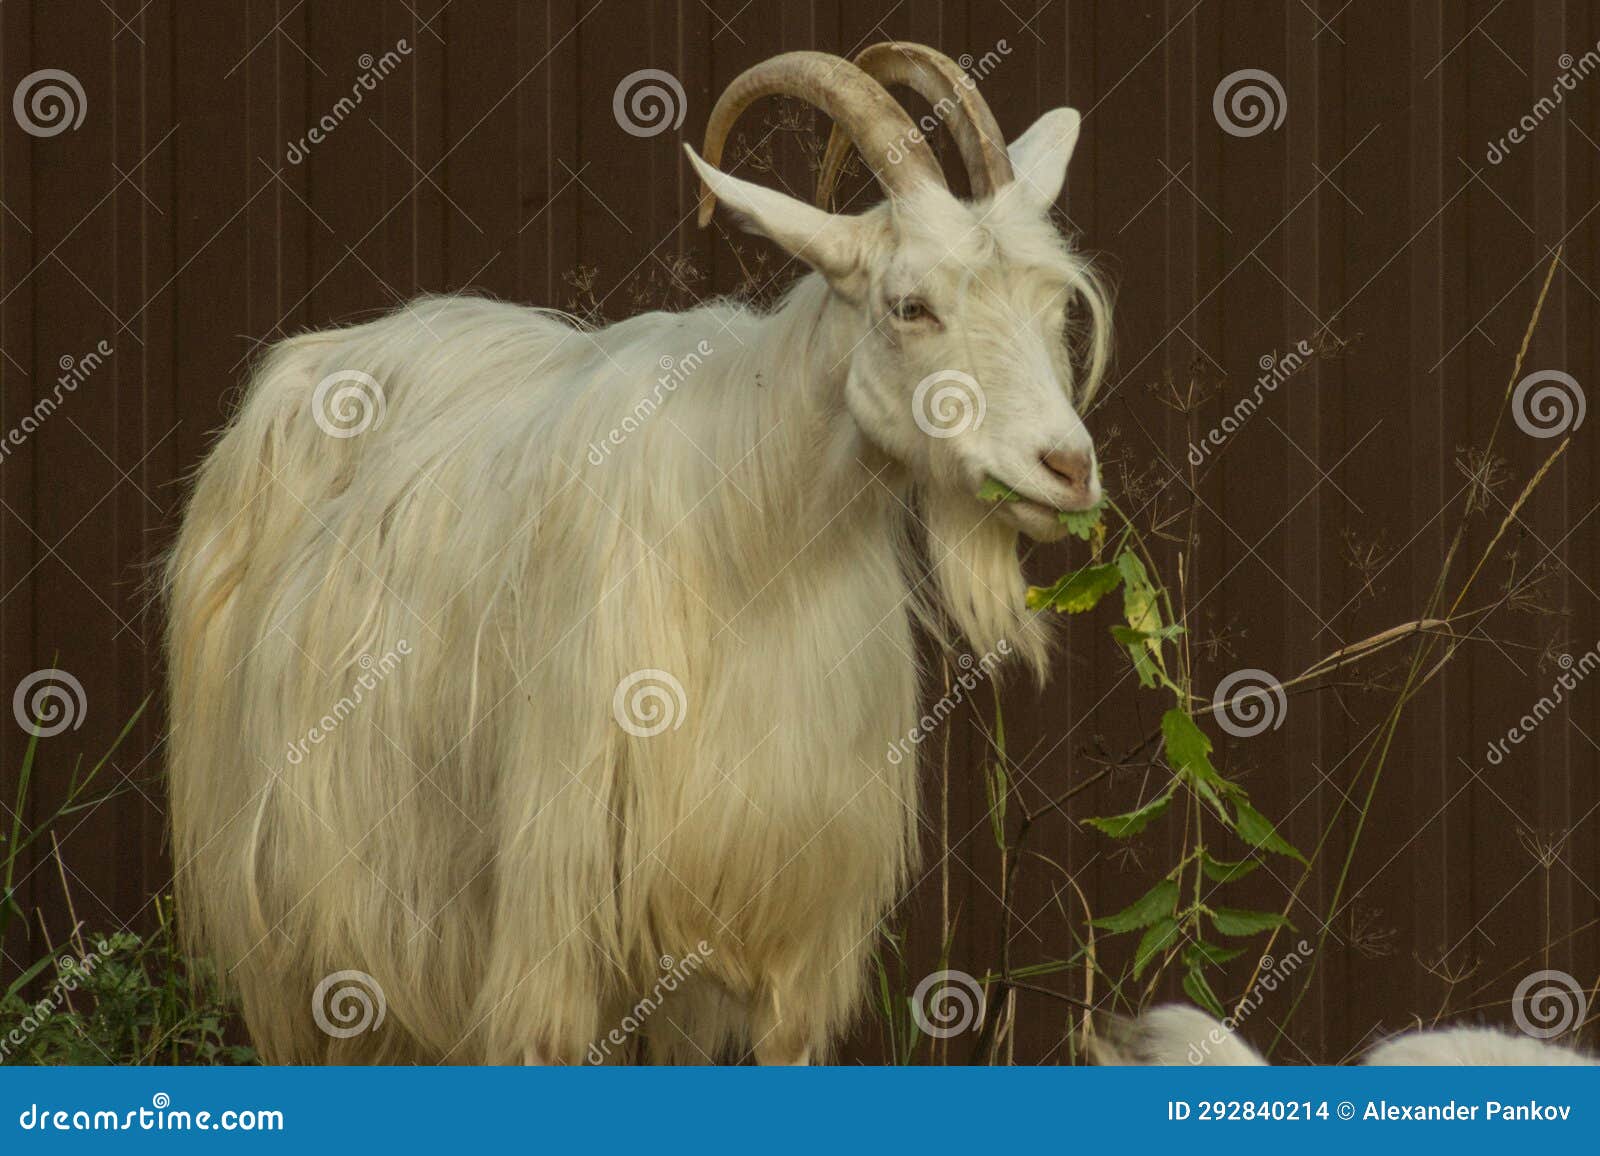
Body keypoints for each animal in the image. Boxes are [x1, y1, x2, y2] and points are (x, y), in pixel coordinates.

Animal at [165, 44, 1110, 1064]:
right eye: (910, 306)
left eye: (1055, 303)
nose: (1066, 468)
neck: (760, 543)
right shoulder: (558, 897)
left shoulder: (785, 903)